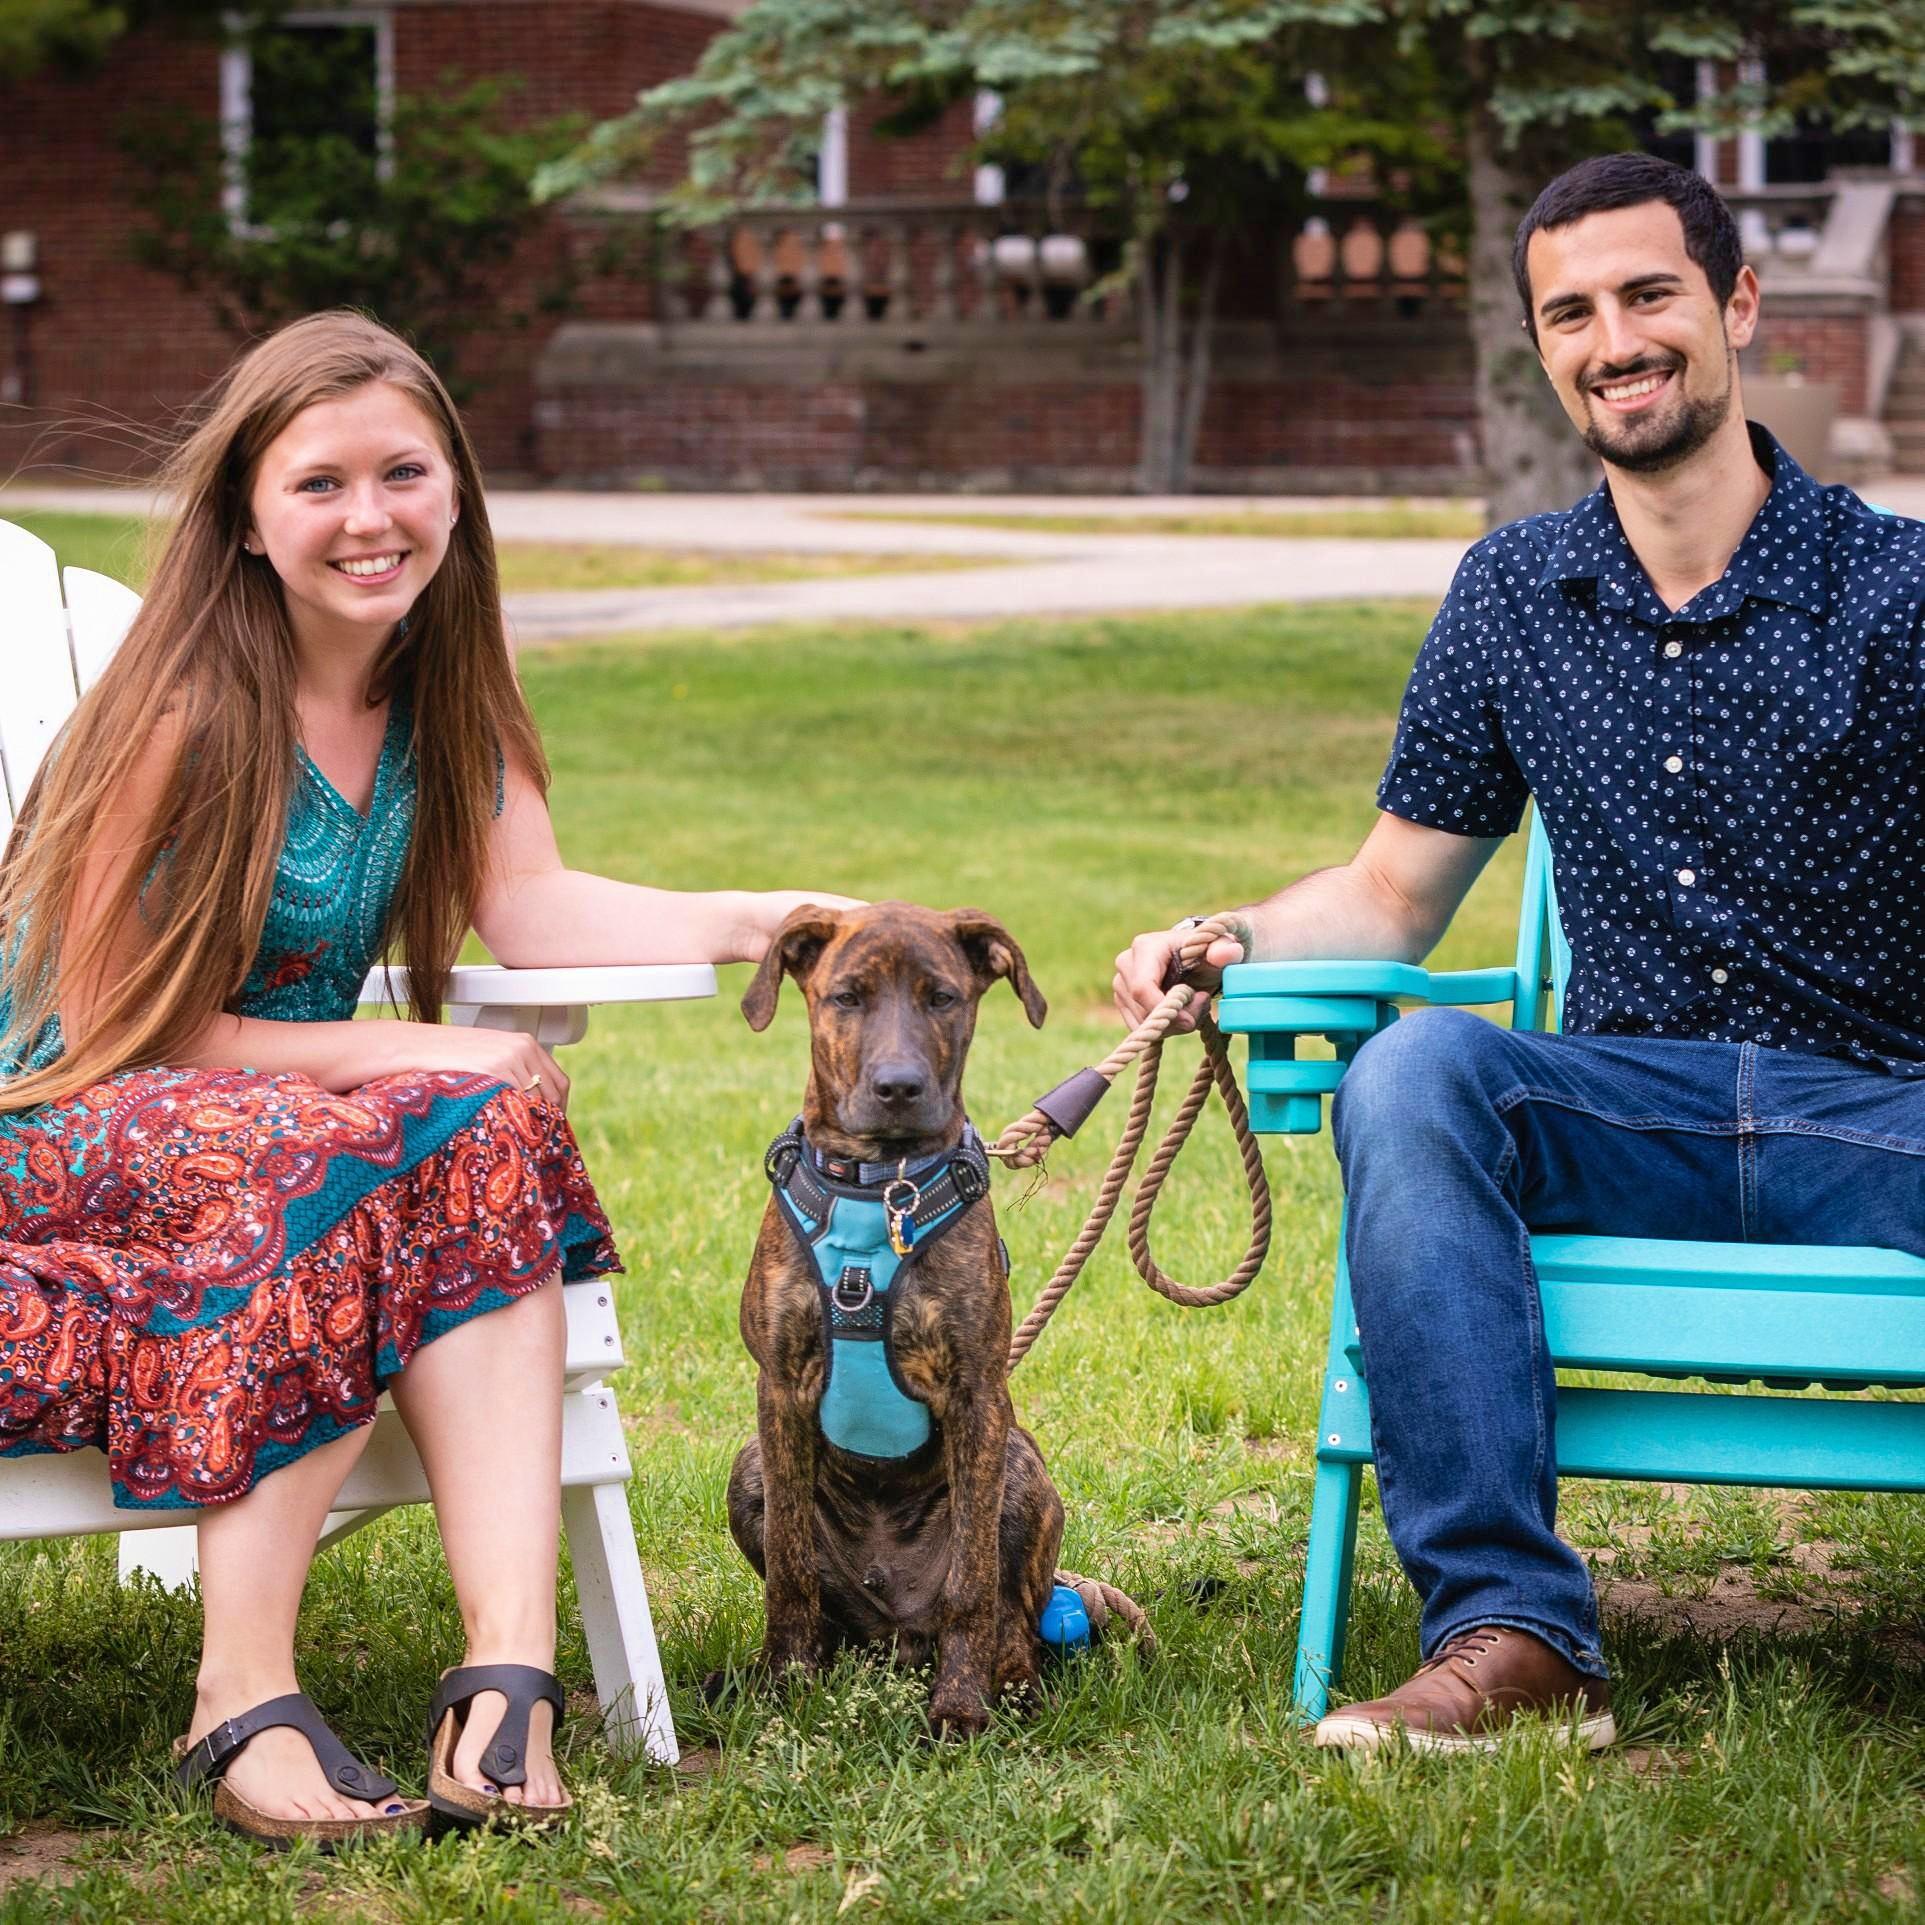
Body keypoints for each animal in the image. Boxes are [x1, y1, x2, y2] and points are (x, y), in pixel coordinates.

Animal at [731, 908, 1078, 1740]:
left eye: (941, 997)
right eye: (847, 997)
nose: (898, 1086)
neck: (877, 1185)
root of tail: (894, 1632)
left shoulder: (977, 1397)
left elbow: (972, 1585)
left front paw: (959, 1707)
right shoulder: (779, 1387)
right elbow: (789, 1567)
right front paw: (784, 1687)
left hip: (1021, 1467)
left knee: (1011, 1617)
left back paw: (1008, 1688)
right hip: (748, 1465)